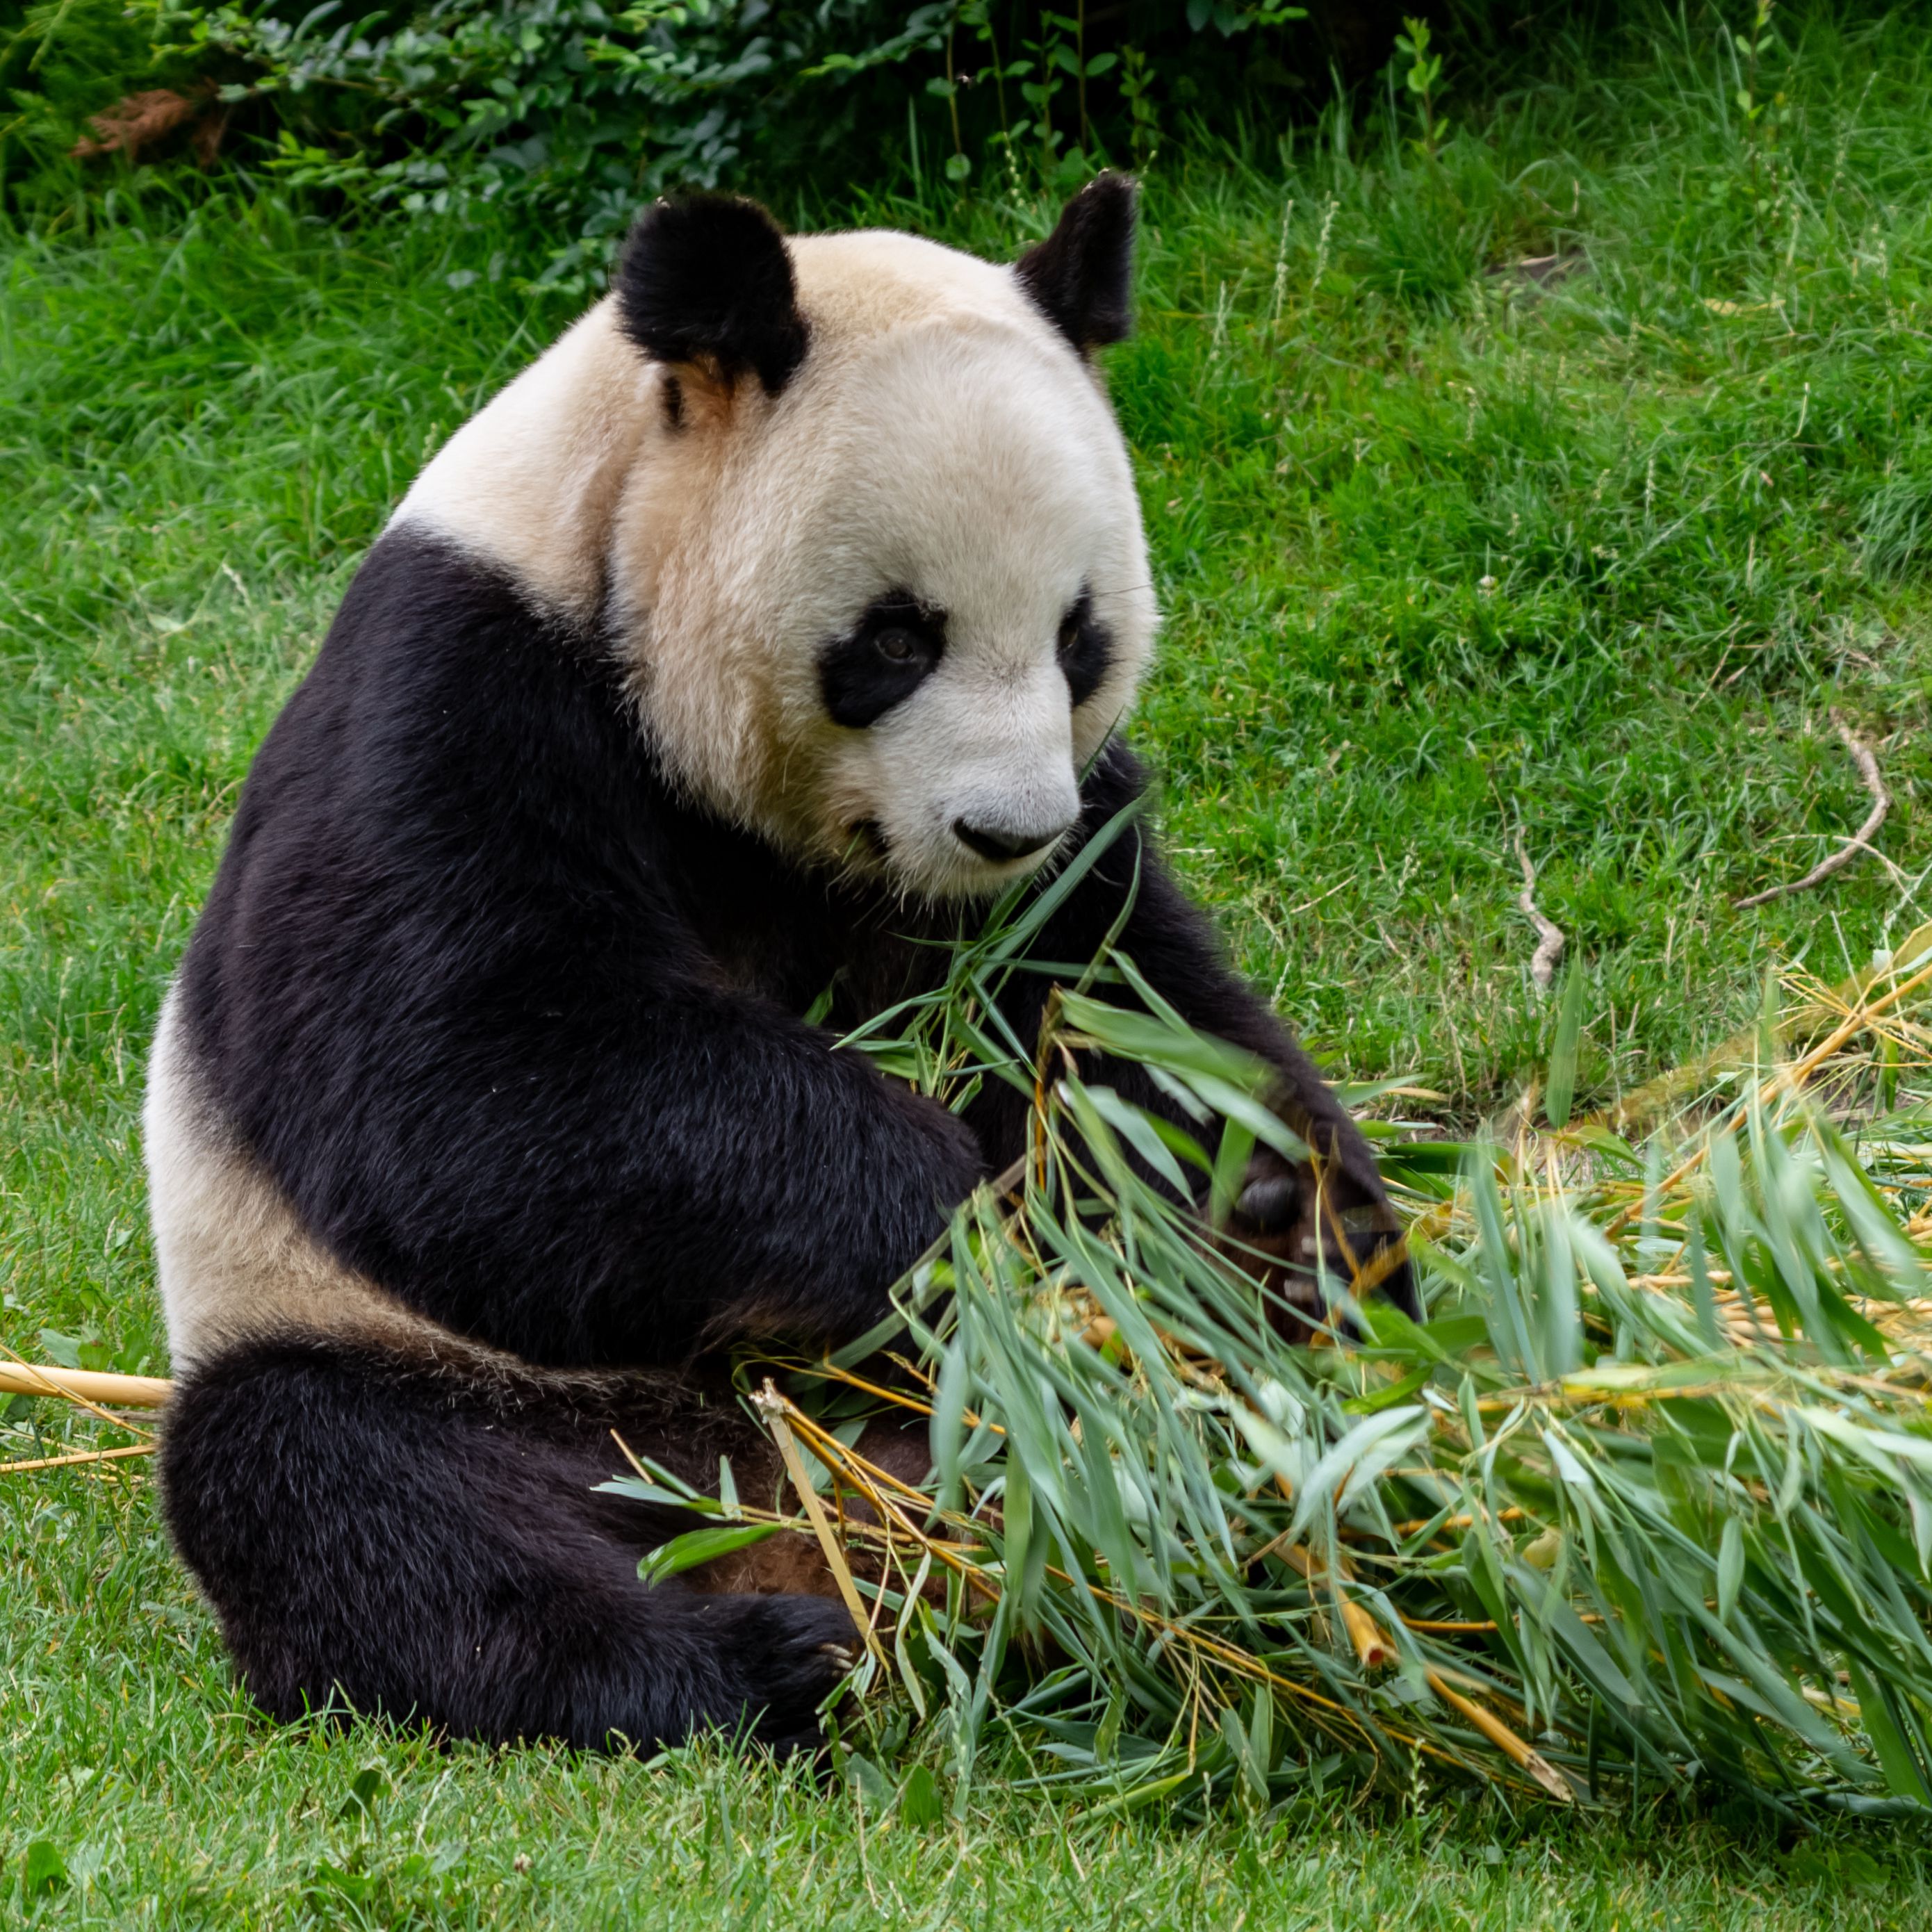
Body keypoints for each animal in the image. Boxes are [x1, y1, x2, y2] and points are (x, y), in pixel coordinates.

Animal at [150, 177, 1414, 1754]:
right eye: (895, 639)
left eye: (1078, 637)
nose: (1004, 832)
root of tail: (795, 1507)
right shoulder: (460, 687)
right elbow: (458, 1083)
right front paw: (960, 1221)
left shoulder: (1060, 855)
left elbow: (1129, 1008)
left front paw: (1278, 1224)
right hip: (450, 1371)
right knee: (352, 1493)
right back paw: (771, 1660)